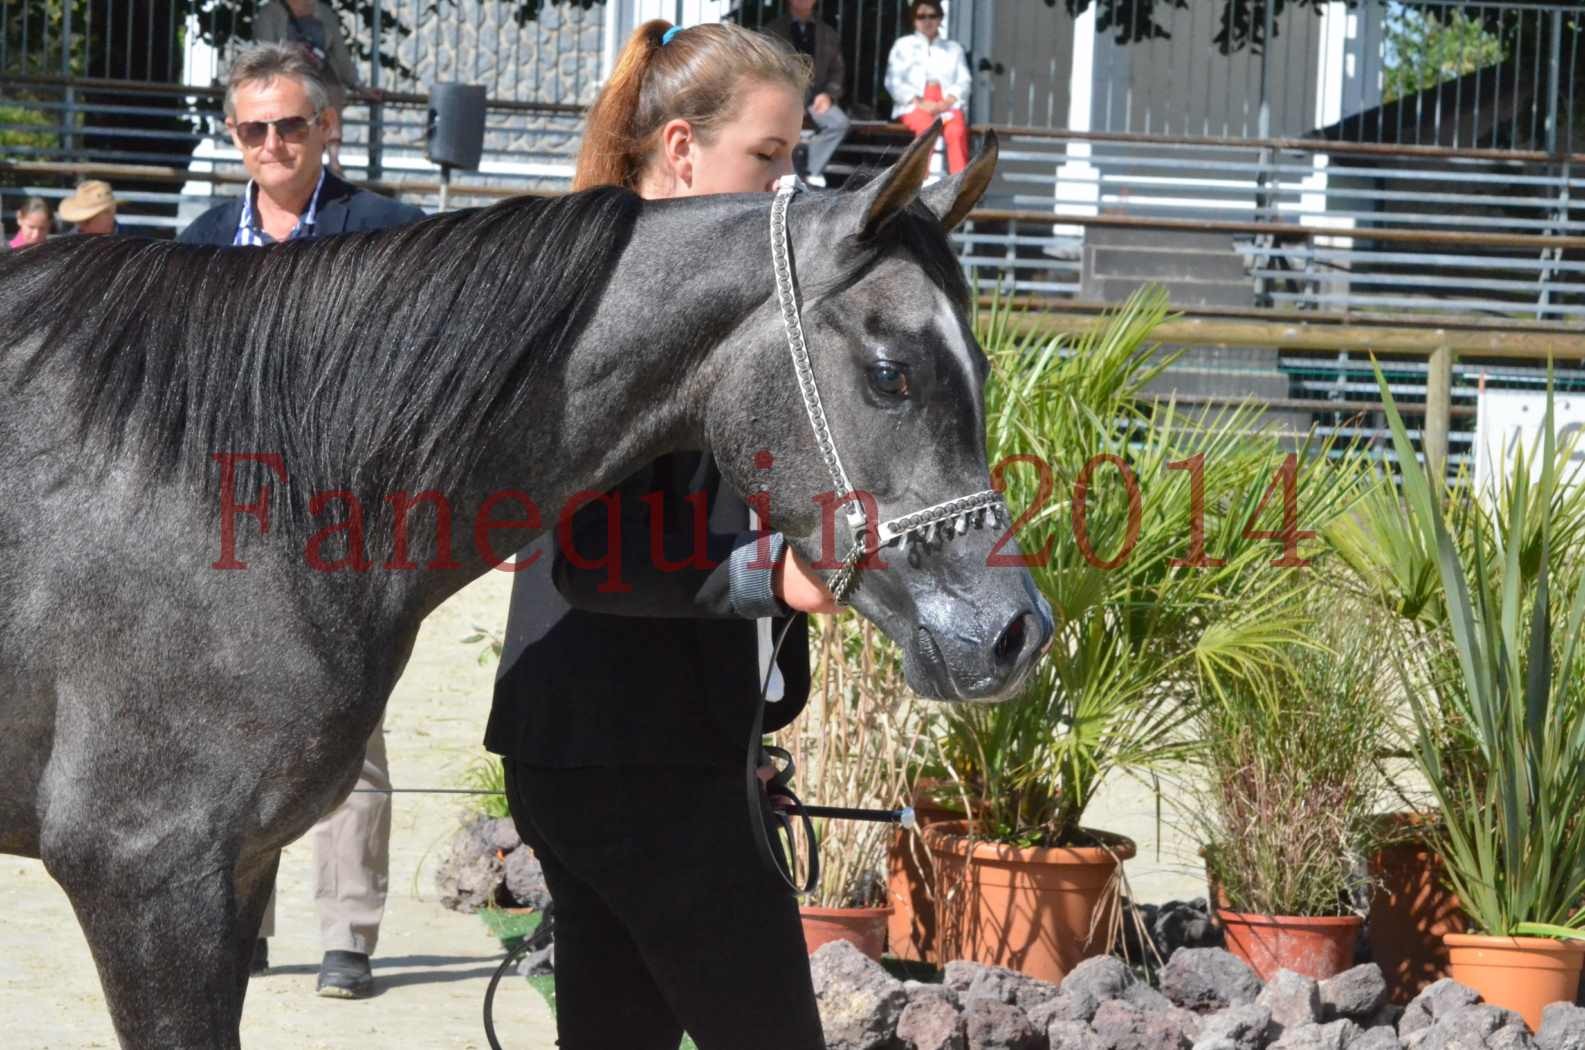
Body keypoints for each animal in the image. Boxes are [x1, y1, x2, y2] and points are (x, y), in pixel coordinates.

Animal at [0, 127, 1046, 1046]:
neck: (227, 480)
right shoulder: (148, 878)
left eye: (984, 365)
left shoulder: (238, 866)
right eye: (889, 371)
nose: (1015, 632)